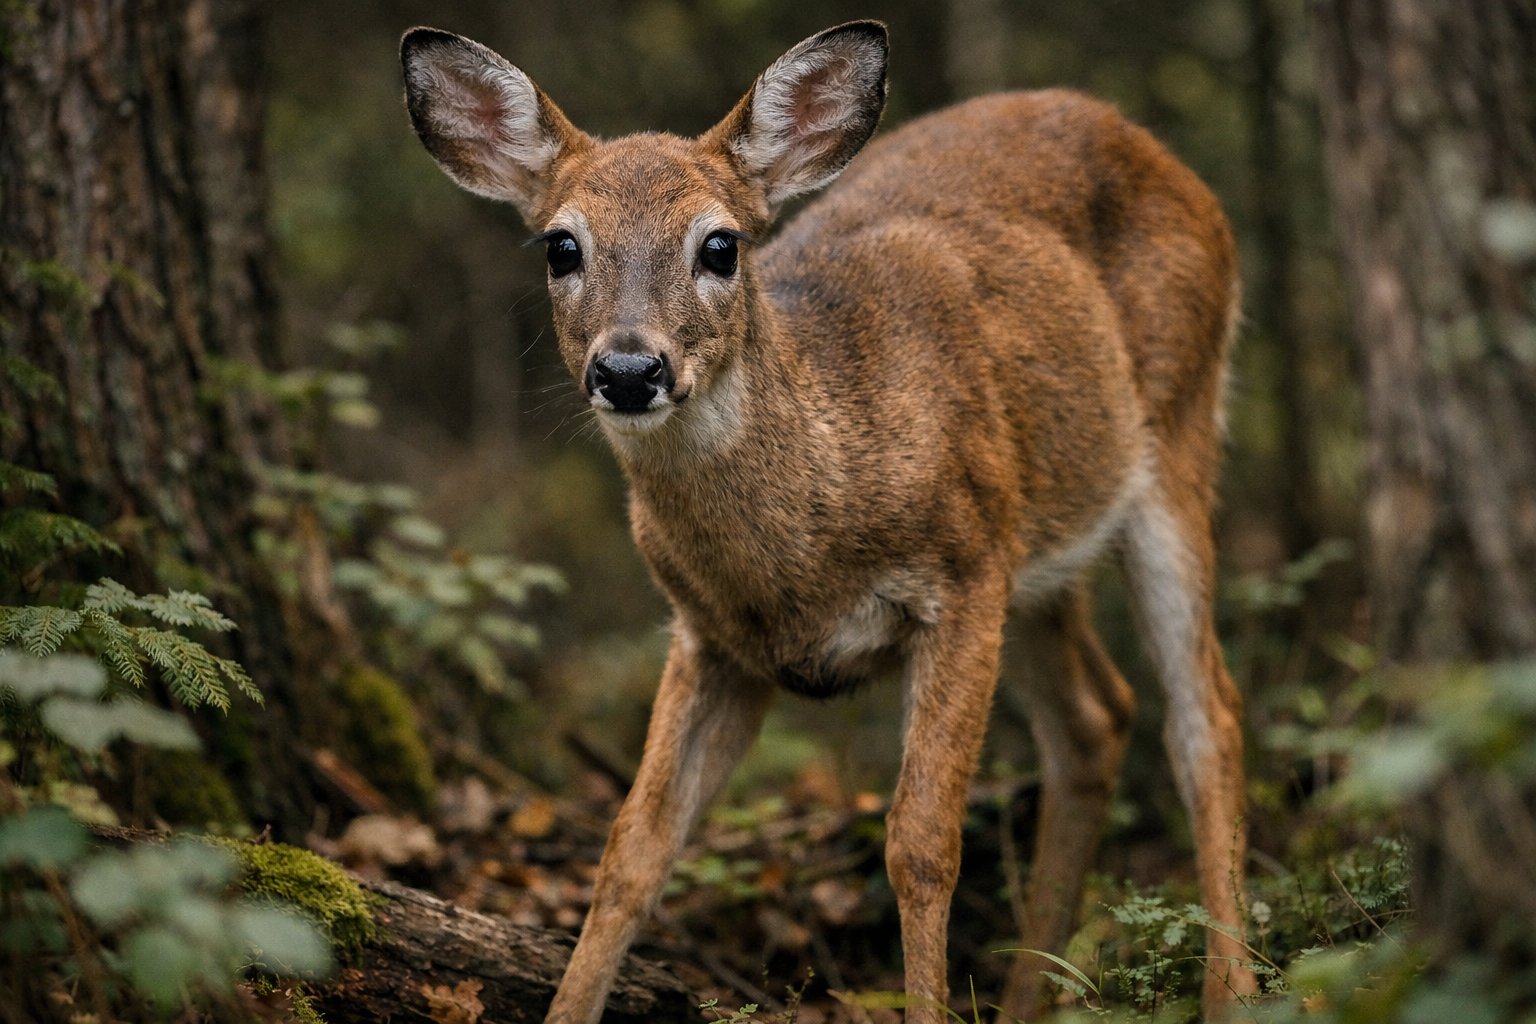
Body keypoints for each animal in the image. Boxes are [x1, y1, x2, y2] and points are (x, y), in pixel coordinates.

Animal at [401, 20, 1254, 1023]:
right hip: (1041, 544)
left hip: (1178, 437)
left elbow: (920, 844)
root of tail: (1149, 144)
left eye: (720, 245)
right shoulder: (711, 637)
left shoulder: (964, 575)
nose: (629, 369)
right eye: (560, 246)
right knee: (1095, 719)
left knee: (1207, 718)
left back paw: (1235, 992)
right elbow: (633, 848)